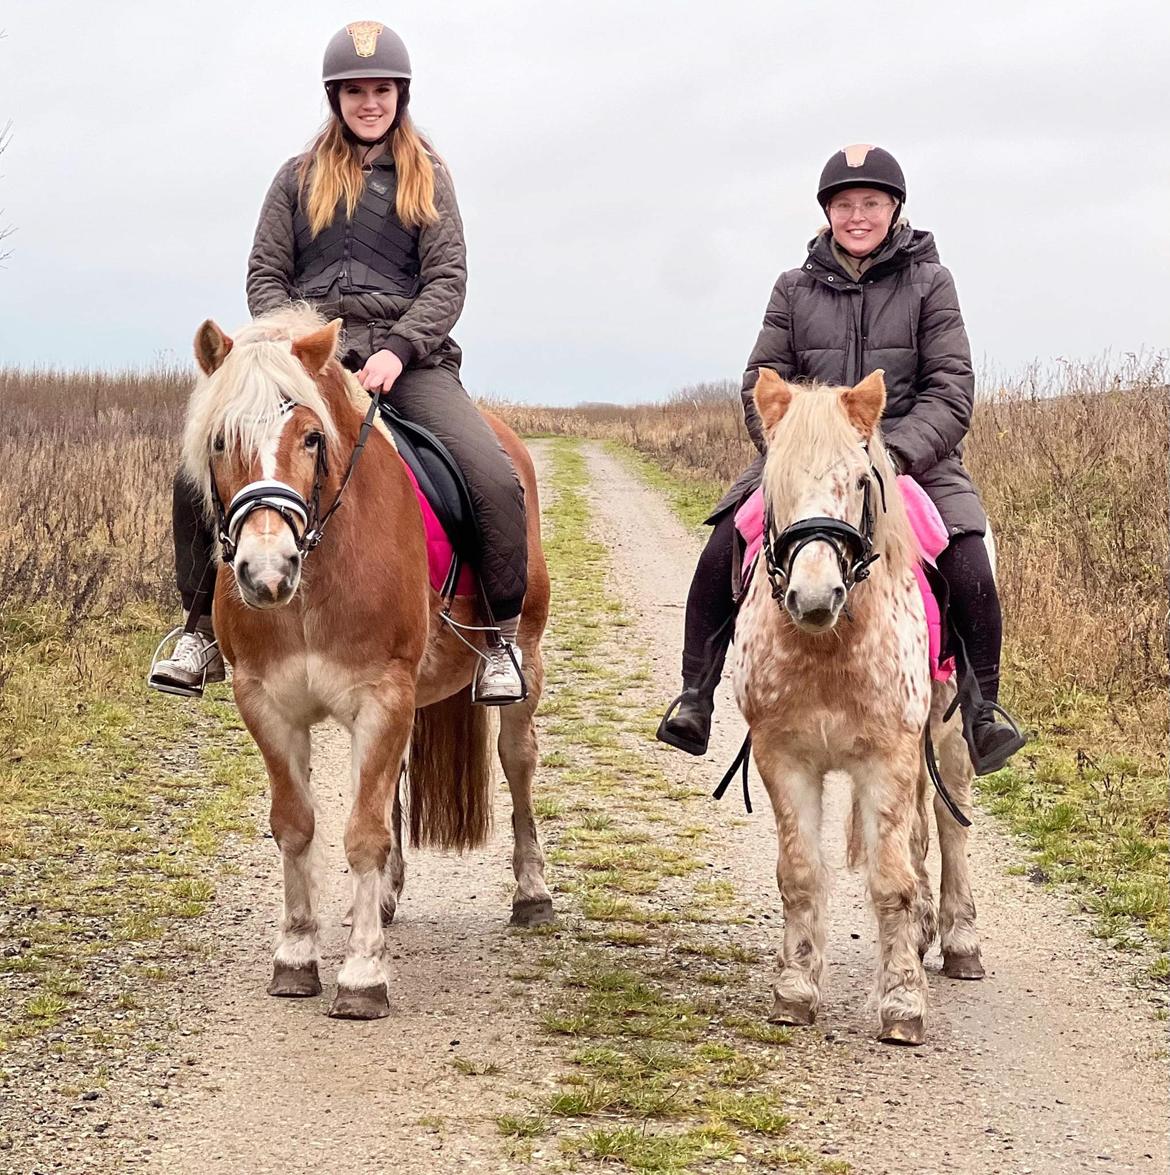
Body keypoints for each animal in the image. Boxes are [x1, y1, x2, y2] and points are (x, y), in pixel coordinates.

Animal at [179, 305, 552, 1019]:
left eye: (311, 438)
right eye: (218, 441)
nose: (267, 571)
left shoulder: (382, 695)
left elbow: (363, 833)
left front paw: (361, 975)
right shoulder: (267, 702)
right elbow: (297, 825)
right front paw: (297, 956)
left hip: (526, 662)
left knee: (516, 763)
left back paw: (532, 895)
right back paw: (382, 899)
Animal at [733, 368, 977, 1048]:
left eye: (862, 480)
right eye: (774, 483)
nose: (815, 597)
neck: (829, 647)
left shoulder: (886, 760)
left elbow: (890, 882)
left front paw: (901, 1005)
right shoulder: (784, 759)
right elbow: (800, 874)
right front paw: (795, 991)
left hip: (947, 736)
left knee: (950, 823)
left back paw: (959, 941)